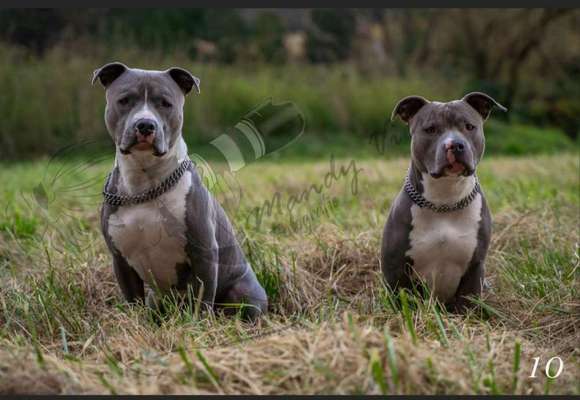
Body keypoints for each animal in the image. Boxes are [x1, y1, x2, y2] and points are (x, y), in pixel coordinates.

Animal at [93, 61, 268, 318]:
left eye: (165, 103)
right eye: (124, 100)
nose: (145, 124)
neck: (144, 186)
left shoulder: (203, 254)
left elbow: (203, 300)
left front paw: (199, 324)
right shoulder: (121, 261)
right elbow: (133, 301)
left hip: (243, 291)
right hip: (156, 298)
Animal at [378, 92, 506, 310]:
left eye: (469, 126)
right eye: (430, 129)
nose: (454, 144)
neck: (445, 200)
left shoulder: (475, 267)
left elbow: (467, 303)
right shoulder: (395, 269)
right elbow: (401, 301)